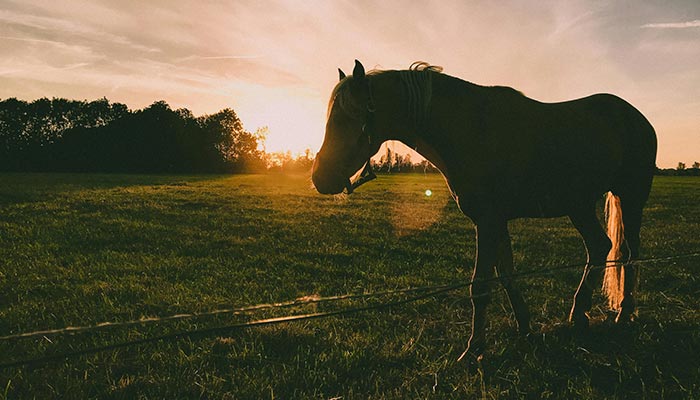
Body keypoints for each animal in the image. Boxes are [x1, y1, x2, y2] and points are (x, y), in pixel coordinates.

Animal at [312, 60, 657, 364]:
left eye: (345, 118)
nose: (319, 177)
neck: (470, 129)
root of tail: (637, 117)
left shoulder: (487, 222)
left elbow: (479, 286)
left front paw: (474, 349)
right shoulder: (496, 222)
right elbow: (506, 276)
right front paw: (525, 328)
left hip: (630, 198)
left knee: (629, 253)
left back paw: (624, 312)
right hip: (580, 206)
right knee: (600, 247)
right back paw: (580, 315)